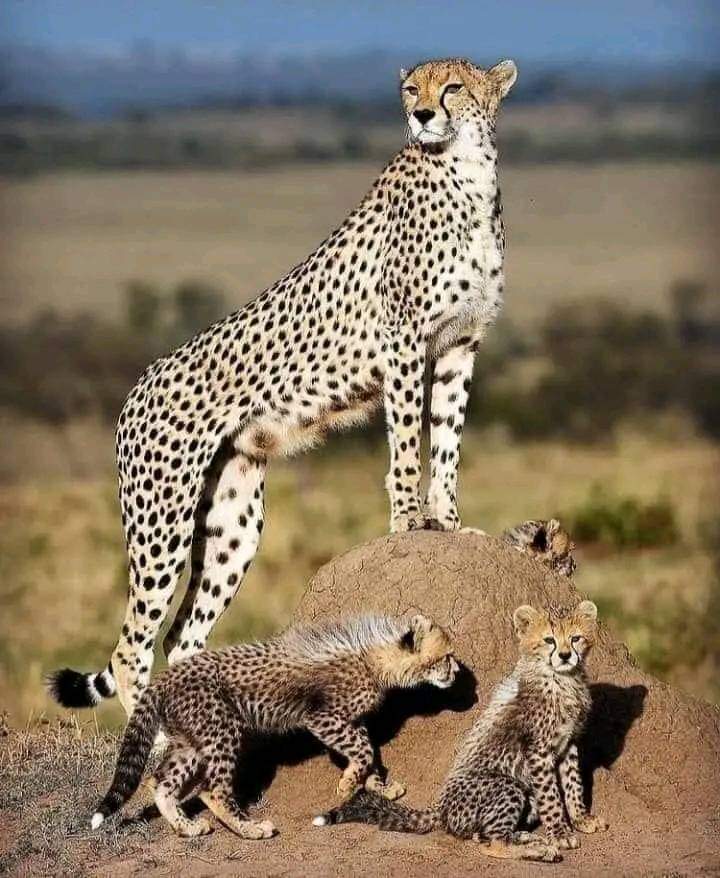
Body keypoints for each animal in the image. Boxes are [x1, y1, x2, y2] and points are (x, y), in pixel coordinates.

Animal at [48, 57, 518, 721]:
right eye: (411, 89)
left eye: (452, 87)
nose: (422, 115)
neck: (467, 171)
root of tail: (137, 384)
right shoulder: (404, 342)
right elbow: (407, 441)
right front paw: (408, 522)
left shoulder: (459, 345)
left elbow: (447, 441)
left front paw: (449, 524)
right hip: (162, 523)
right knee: (130, 650)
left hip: (234, 523)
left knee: (180, 639)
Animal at [86, 613, 458, 839]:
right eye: (447, 656)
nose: (455, 672)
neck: (377, 658)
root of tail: (166, 675)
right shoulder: (322, 718)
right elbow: (364, 750)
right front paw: (348, 784)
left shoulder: (349, 721)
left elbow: (368, 751)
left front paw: (377, 786)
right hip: (222, 731)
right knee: (212, 789)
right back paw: (250, 829)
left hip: (190, 740)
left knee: (160, 781)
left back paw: (186, 827)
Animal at [314, 600, 608, 864]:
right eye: (549, 640)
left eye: (575, 638)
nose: (565, 656)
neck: (563, 679)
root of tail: (440, 807)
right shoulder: (539, 751)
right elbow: (552, 797)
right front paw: (560, 834)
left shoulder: (568, 743)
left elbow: (573, 785)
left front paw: (581, 819)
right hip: (508, 784)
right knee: (492, 844)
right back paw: (541, 850)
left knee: (484, 835)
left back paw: (528, 838)